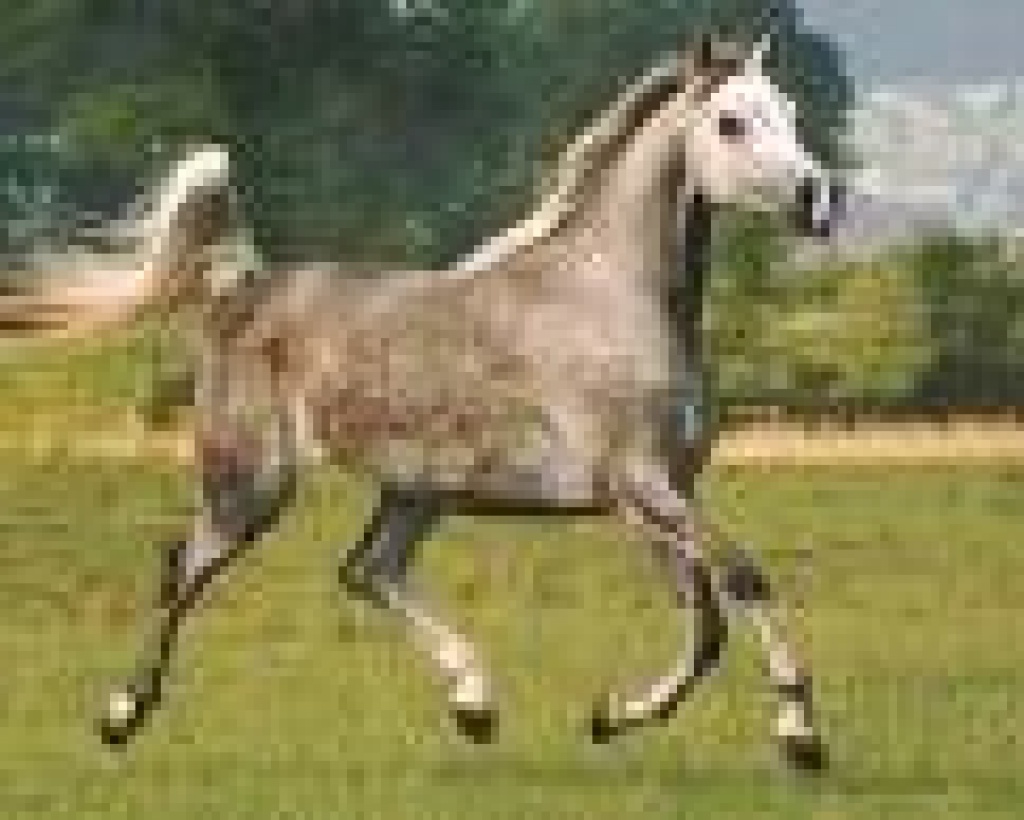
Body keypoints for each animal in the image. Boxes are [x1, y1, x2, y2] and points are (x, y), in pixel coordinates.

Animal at [0, 33, 843, 770]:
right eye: (731, 120)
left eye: (790, 109)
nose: (817, 198)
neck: (611, 299)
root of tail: (246, 288)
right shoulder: (640, 485)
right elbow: (742, 579)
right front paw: (800, 735)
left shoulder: (658, 497)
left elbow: (706, 625)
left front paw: (609, 718)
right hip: (253, 485)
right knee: (190, 567)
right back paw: (121, 715)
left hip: (417, 490)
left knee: (367, 570)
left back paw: (475, 705)